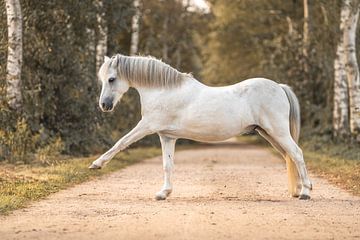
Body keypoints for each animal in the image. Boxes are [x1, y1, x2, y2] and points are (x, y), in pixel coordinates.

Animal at [90, 54, 312, 201]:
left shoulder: (147, 126)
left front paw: (97, 164)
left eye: (111, 79)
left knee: (297, 154)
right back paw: (298, 190)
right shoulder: (167, 136)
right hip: (269, 134)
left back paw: (306, 192)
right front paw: (163, 193)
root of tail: (279, 87)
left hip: (278, 132)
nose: (104, 105)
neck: (163, 90)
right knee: (290, 156)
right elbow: (167, 165)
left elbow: (121, 143)